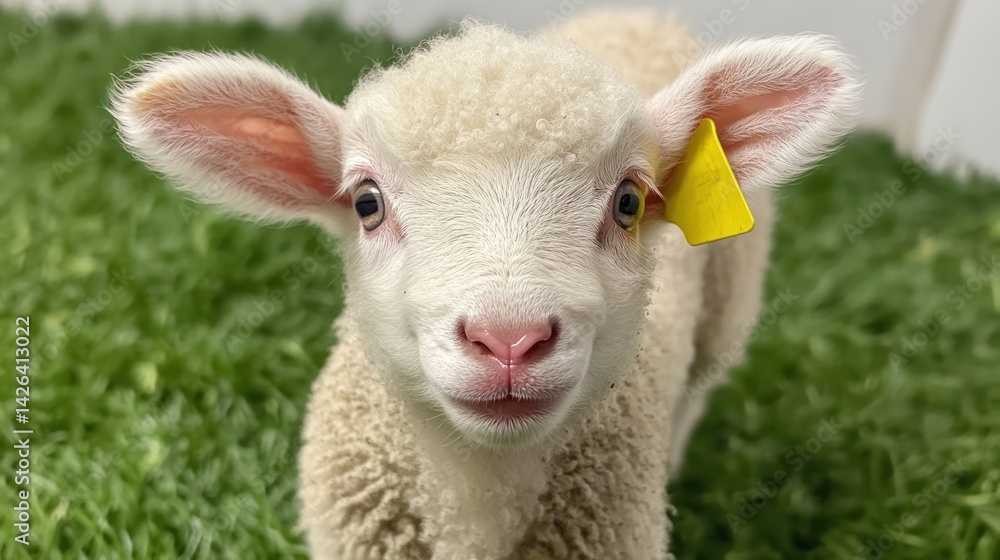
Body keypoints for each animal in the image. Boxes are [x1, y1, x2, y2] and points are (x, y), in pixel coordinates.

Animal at [110, 8, 859, 559]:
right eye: (366, 202)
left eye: (628, 203)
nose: (509, 339)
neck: (477, 493)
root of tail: (642, 13)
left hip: (728, 302)